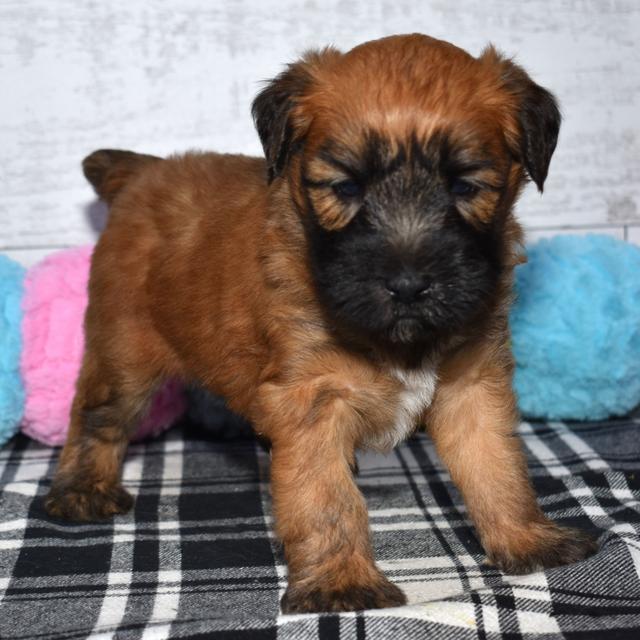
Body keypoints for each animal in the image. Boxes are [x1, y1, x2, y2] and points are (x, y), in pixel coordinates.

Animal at [46, 35, 600, 616]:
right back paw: (82, 490)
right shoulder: (312, 401)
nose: (408, 285)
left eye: (466, 187)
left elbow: (498, 467)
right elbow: (326, 499)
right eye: (345, 187)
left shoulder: (472, 388)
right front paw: (341, 581)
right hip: (124, 354)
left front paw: (526, 540)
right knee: (96, 419)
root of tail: (141, 173)